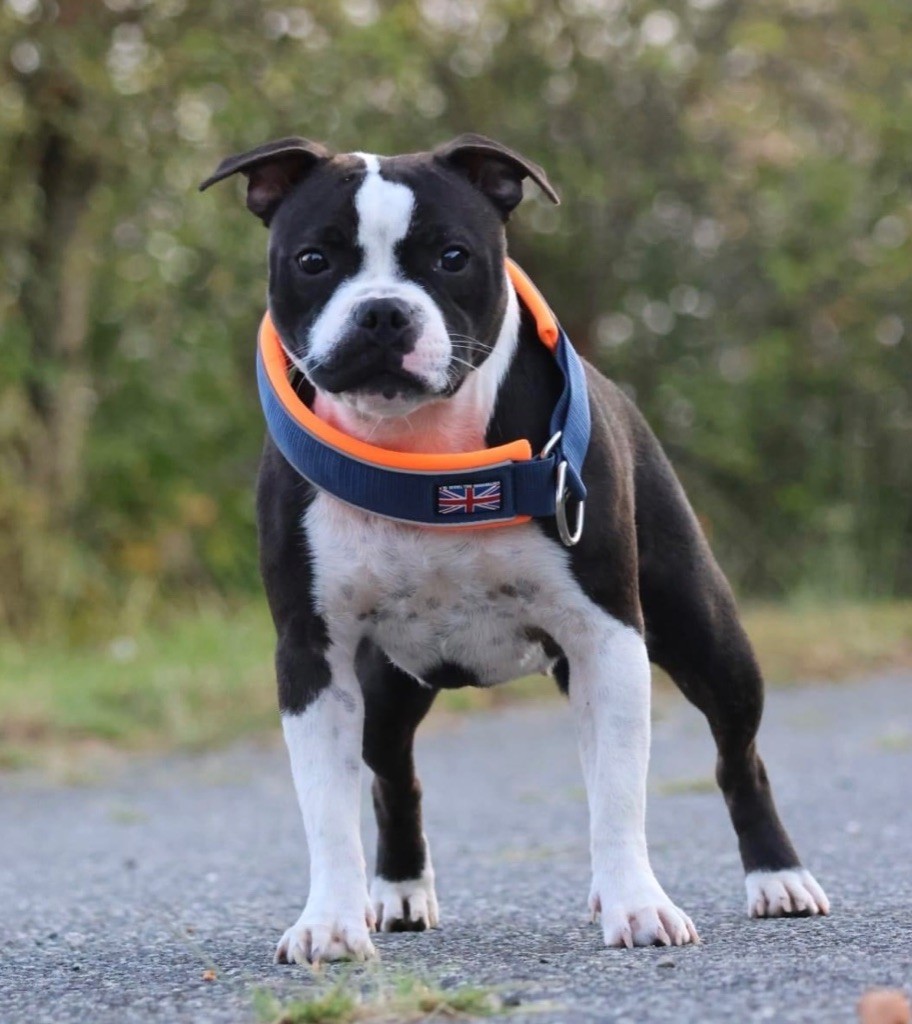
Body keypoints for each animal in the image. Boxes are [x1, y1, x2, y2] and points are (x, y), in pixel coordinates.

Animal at [199, 134, 827, 958]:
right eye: (312, 260)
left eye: (453, 256)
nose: (382, 313)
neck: (427, 456)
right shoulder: (313, 657)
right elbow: (327, 810)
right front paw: (330, 923)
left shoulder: (606, 636)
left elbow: (619, 788)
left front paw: (638, 905)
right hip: (387, 687)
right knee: (394, 778)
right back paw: (400, 893)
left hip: (706, 635)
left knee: (736, 755)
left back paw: (777, 878)